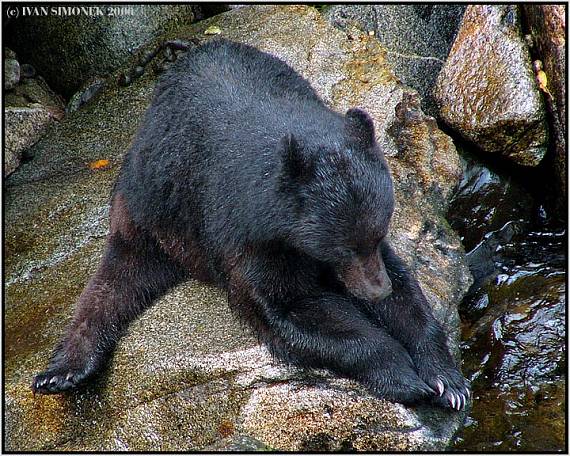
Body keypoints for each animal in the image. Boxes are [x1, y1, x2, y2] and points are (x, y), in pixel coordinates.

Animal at [30, 39, 466, 410]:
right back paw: (61, 371)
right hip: (151, 211)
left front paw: (446, 379)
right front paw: (403, 375)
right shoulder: (246, 233)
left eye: (378, 232)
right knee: (112, 282)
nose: (376, 291)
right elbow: (288, 307)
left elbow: (405, 287)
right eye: (343, 246)